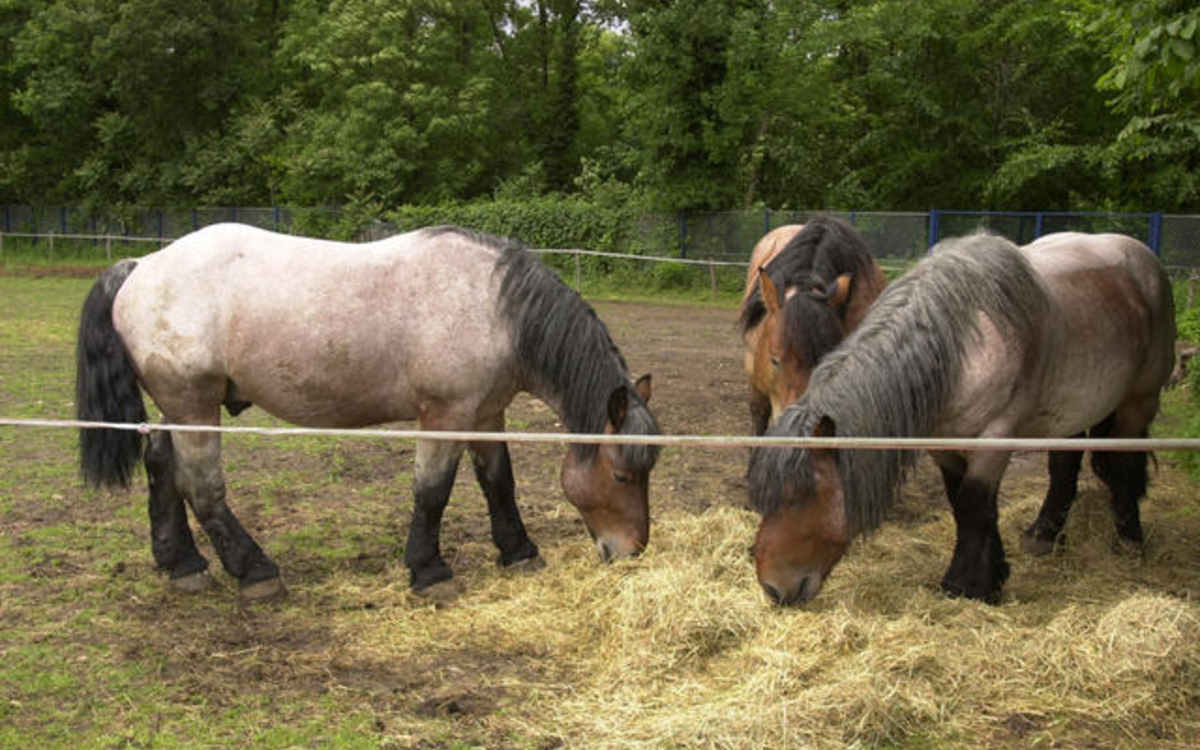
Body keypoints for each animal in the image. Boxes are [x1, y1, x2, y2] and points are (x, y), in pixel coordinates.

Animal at [75, 223, 661, 600]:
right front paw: (429, 571)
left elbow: (498, 482)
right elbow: (433, 491)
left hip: (177, 407)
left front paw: (519, 552)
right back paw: (255, 572)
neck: (494, 307)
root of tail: (142, 266)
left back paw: (182, 564)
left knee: (161, 466)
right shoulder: (445, 416)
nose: (632, 551)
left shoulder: (485, 413)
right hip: (193, 405)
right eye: (621, 474)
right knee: (201, 486)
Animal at [748, 232, 1175, 606]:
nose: (772, 587)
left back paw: (1129, 539)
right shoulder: (943, 445)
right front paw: (994, 575)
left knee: (1125, 463)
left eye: (800, 497)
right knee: (1064, 465)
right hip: (1071, 411)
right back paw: (1044, 534)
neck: (957, 349)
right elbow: (963, 504)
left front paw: (964, 584)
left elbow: (975, 506)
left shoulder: (994, 438)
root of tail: (1144, 258)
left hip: (1140, 401)